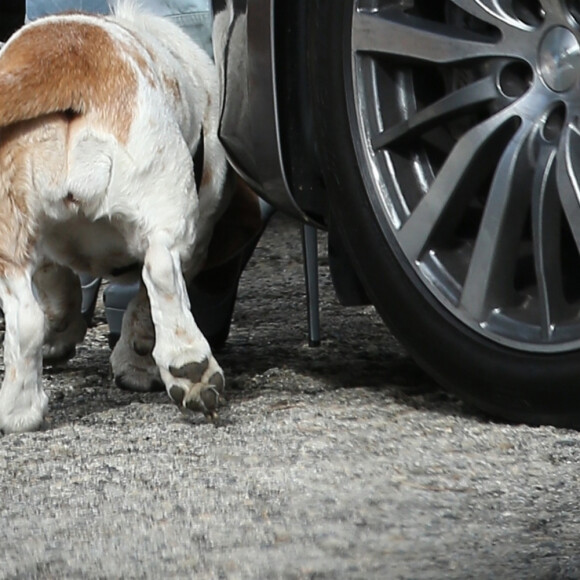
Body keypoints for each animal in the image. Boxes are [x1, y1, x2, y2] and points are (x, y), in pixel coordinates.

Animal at [0, 0, 240, 432]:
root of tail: (64, 59)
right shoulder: (199, 237)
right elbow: (141, 302)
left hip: (8, 228)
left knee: (25, 316)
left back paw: (18, 411)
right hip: (169, 206)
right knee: (160, 271)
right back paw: (190, 367)